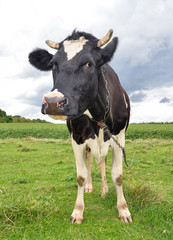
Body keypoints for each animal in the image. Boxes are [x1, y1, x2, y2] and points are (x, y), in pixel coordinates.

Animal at [28, 29, 132, 223]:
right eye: (53, 65)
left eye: (89, 63)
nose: (53, 103)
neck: (99, 116)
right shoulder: (76, 138)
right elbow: (81, 176)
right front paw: (77, 211)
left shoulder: (119, 137)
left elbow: (117, 175)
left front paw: (123, 209)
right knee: (91, 159)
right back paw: (92, 186)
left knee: (102, 162)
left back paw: (104, 190)